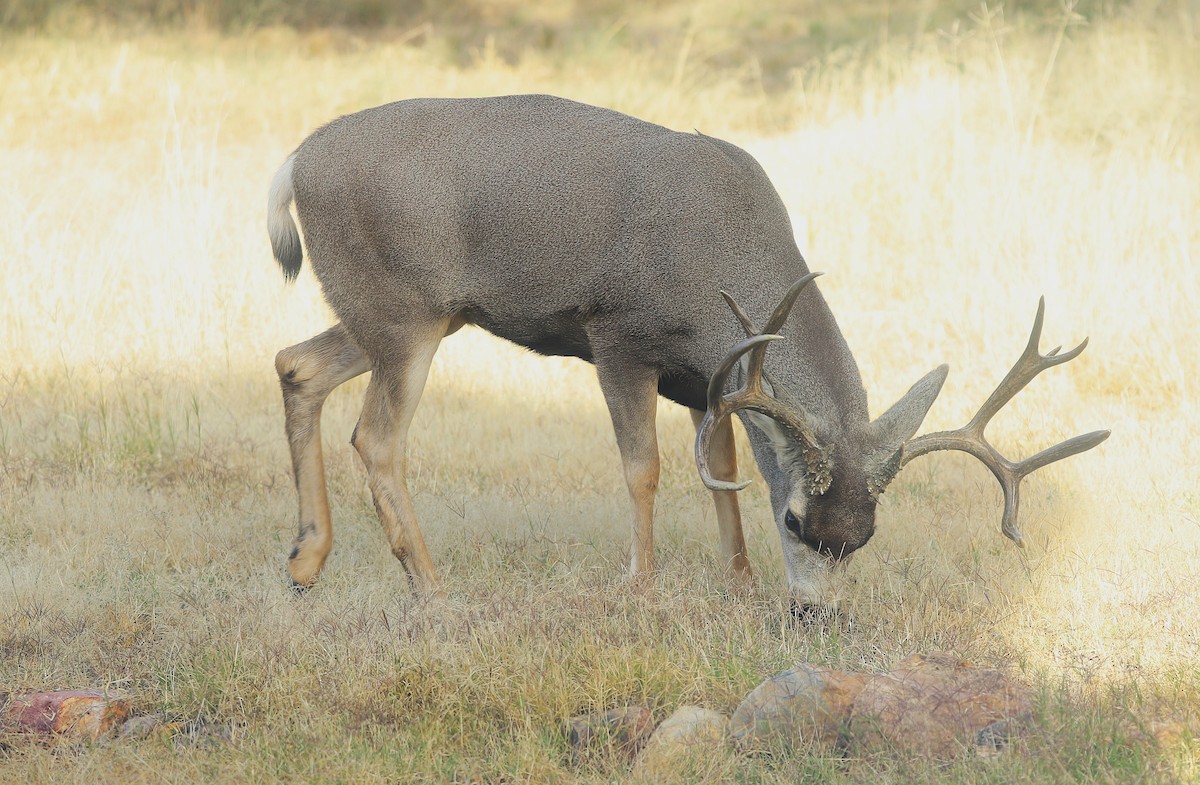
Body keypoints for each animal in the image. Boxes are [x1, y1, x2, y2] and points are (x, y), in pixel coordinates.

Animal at [267, 94, 1108, 610]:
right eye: (797, 523)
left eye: (864, 535)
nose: (813, 616)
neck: (719, 263)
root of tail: (295, 159)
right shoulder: (615, 334)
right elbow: (644, 468)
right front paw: (641, 584)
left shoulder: (714, 378)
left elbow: (726, 468)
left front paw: (737, 580)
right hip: (404, 311)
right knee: (377, 437)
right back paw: (432, 587)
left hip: (408, 314)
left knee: (295, 363)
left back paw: (305, 561)